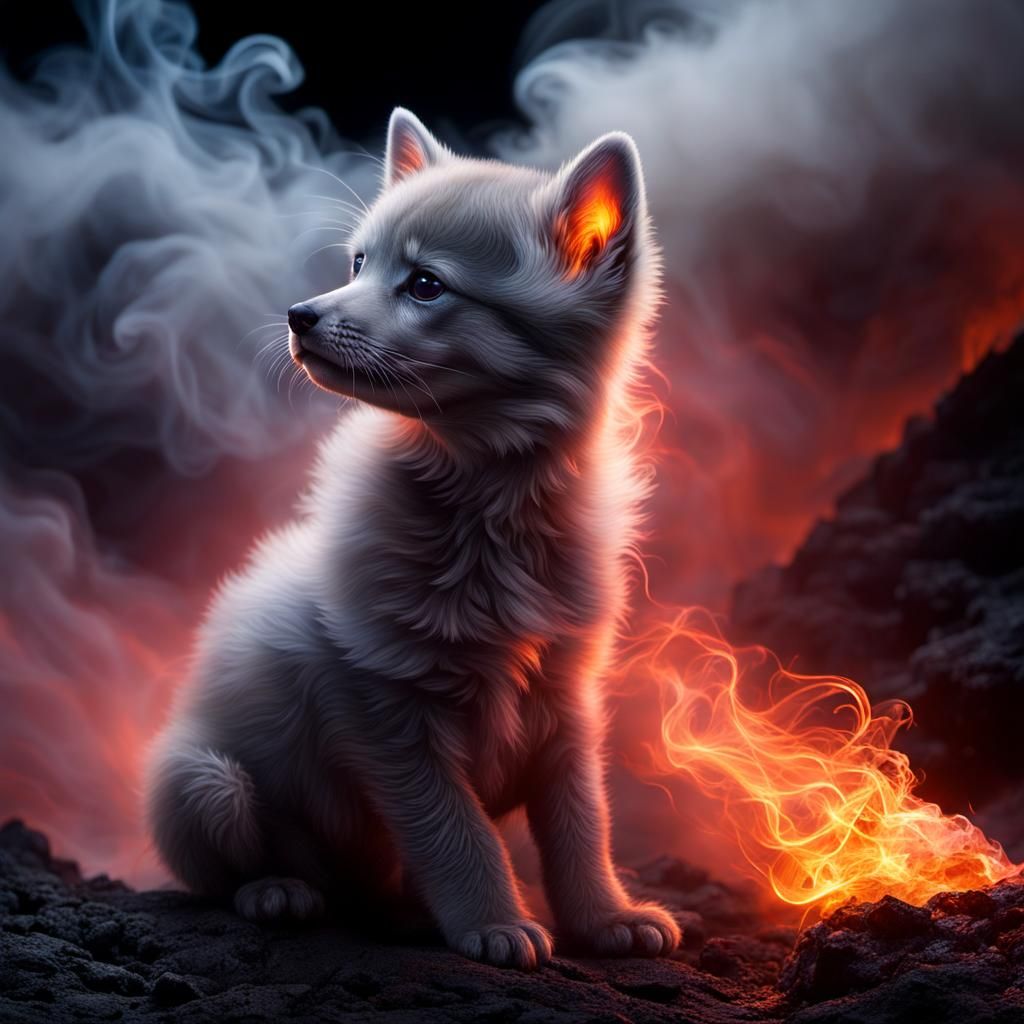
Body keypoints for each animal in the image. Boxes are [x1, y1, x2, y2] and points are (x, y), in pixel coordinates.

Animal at [142, 106, 681, 970]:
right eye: (359, 262)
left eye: (426, 283)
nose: (299, 316)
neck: (490, 501)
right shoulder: (382, 704)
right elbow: (455, 832)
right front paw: (494, 924)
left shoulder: (566, 698)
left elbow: (580, 821)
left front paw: (605, 918)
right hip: (202, 782)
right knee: (230, 863)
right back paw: (279, 891)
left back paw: (397, 911)